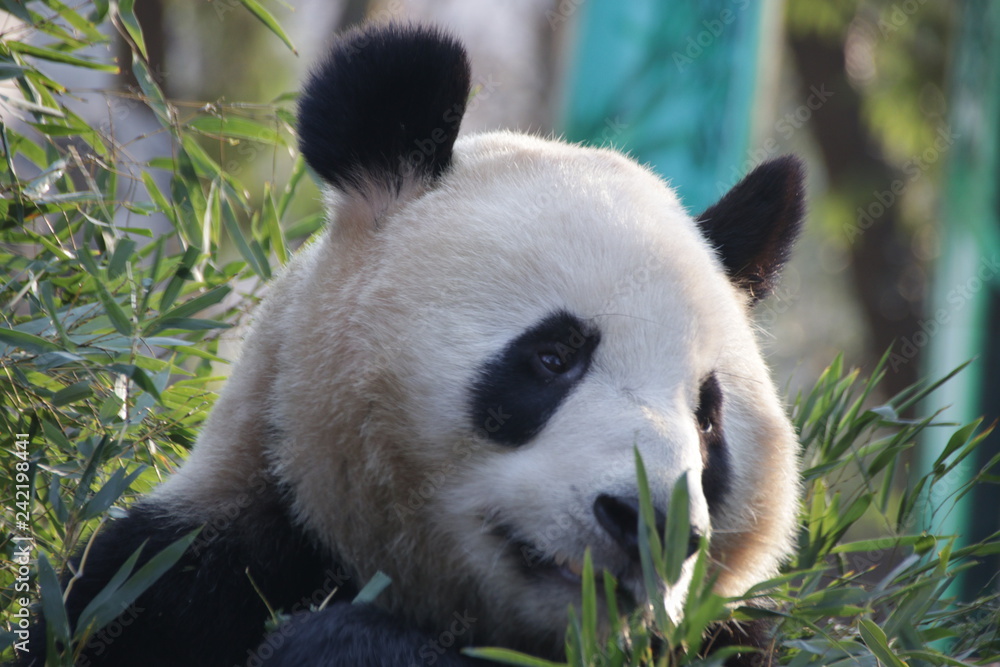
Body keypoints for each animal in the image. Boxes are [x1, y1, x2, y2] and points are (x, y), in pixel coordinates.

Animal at [27, 22, 804, 667]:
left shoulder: (730, 637)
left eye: (707, 418)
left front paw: (334, 640)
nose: (654, 521)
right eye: (553, 357)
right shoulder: (163, 581)